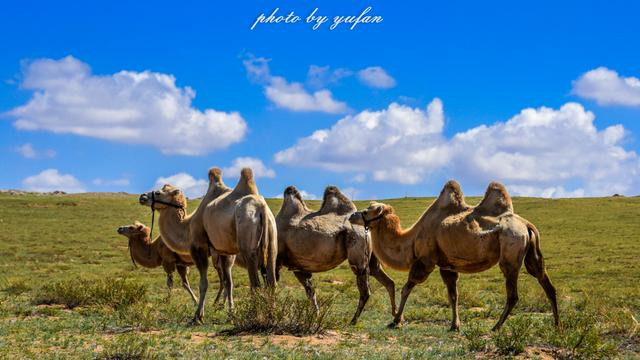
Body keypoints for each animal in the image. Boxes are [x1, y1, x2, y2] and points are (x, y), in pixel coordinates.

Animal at [190, 169, 278, 324]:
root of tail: (262, 208)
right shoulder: (224, 251)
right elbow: (228, 282)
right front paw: (230, 312)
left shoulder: (199, 246)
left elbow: (203, 283)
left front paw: (198, 316)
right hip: (272, 242)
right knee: (271, 283)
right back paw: (271, 317)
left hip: (248, 243)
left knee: (255, 284)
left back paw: (254, 316)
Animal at [278, 186, 398, 324]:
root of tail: (367, 228)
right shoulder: (298, 267)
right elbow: (310, 292)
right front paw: (316, 316)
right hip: (372, 259)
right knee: (388, 281)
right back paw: (396, 317)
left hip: (358, 253)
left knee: (365, 290)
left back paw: (353, 320)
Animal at [348, 181, 556, 330]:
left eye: (367, 211)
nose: (352, 215)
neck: (411, 239)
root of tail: (527, 225)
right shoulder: (446, 265)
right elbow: (453, 295)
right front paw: (455, 325)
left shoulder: (425, 260)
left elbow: (406, 288)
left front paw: (396, 320)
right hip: (530, 253)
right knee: (546, 282)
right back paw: (558, 325)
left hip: (511, 251)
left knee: (513, 294)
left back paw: (496, 327)